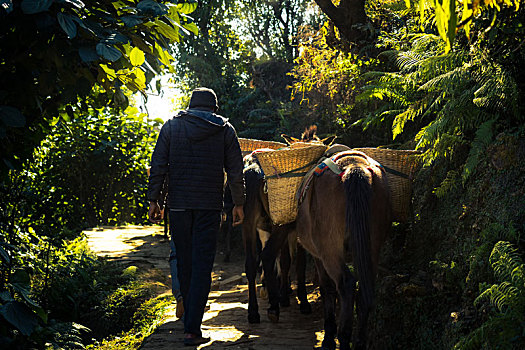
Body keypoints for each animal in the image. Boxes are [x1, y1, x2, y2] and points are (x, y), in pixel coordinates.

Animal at [294, 150, 388, 350]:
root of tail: (354, 166)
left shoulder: (319, 257)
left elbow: (327, 289)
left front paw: (329, 336)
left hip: (330, 250)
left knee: (346, 284)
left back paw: (343, 338)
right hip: (372, 247)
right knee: (364, 292)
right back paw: (358, 343)